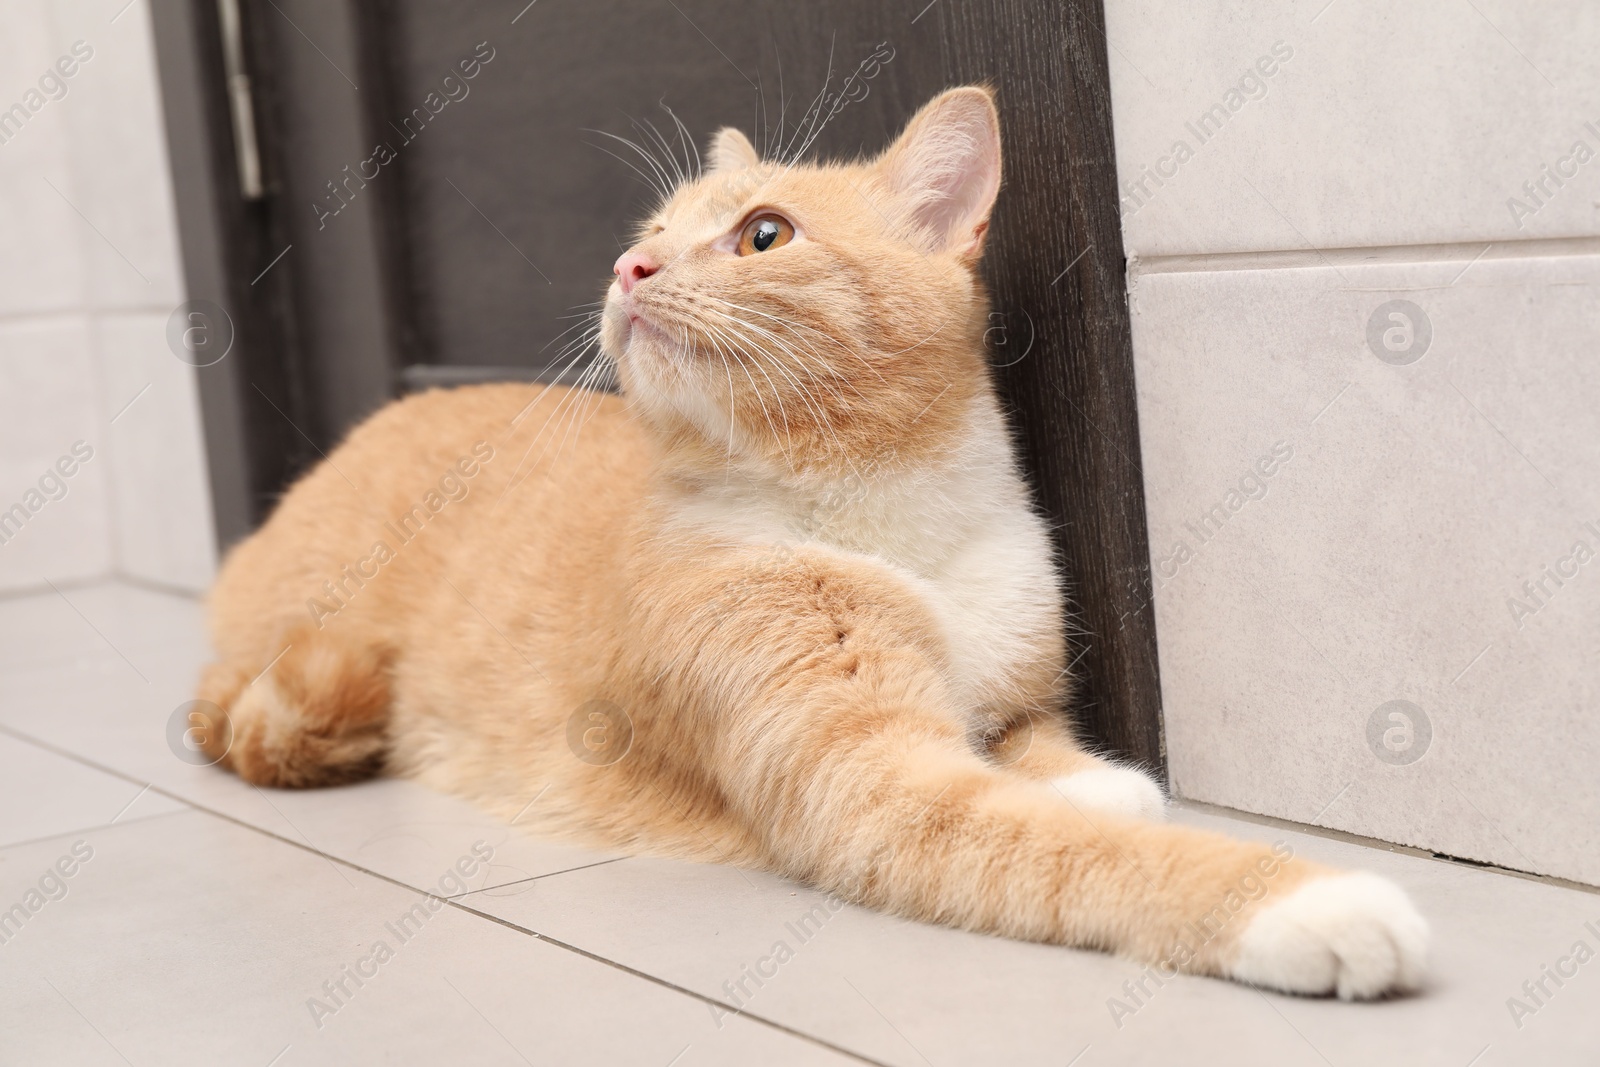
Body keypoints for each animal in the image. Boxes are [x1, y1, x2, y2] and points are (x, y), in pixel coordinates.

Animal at [200, 87, 1427, 998]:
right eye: (649, 237)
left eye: (764, 234)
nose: (630, 271)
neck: (889, 514)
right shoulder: (874, 788)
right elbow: (1074, 849)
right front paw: (1305, 898)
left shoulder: (1012, 701)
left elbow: (1039, 752)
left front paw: (1095, 780)